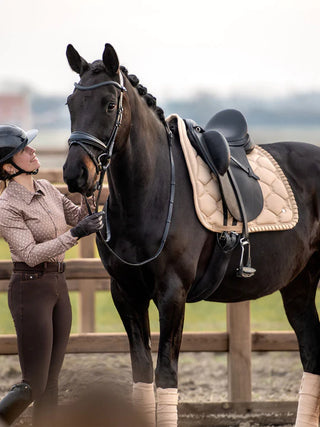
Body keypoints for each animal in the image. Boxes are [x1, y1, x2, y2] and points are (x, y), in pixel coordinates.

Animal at [63, 44, 320, 427]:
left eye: (109, 104)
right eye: (70, 103)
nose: (74, 174)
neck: (151, 193)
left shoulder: (173, 294)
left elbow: (166, 374)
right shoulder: (126, 294)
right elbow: (143, 374)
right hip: (299, 284)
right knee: (312, 352)